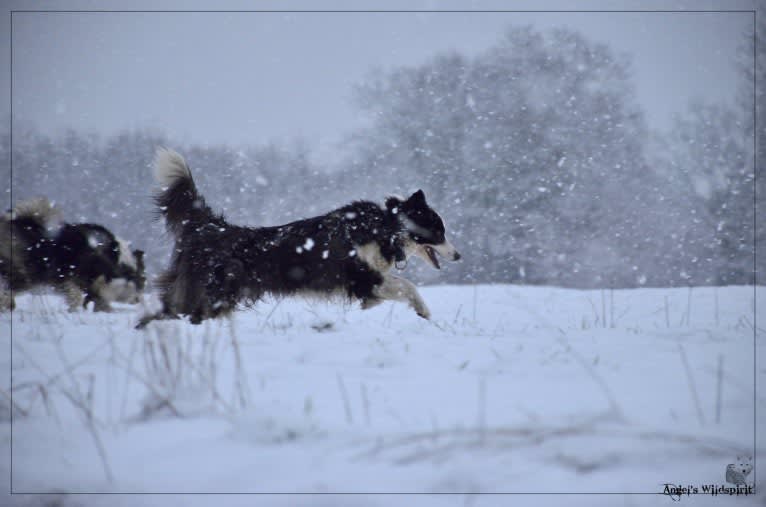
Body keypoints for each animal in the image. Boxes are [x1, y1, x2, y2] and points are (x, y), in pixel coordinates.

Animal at [0, 199, 146, 312]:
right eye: (140, 280)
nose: (138, 300)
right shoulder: (69, 276)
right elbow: (78, 297)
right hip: (28, 272)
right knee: (9, 288)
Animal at [136, 147, 462, 330]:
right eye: (439, 232)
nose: (458, 256)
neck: (386, 229)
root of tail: (212, 227)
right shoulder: (362, 278)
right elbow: (407, 286)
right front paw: (423, 311)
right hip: (214, 291)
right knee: (186, 314)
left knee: (165, 311)